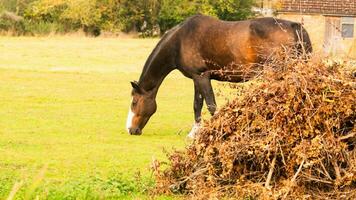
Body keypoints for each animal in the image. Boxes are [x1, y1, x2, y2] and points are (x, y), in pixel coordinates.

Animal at [125, 13, 312, 136]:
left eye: (134, 102)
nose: (130, 130)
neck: (179, 41)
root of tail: (294, 26)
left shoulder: (202, 76)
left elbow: (211, 105)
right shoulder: (197, 78)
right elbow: (197, 104)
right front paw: (195, 132)